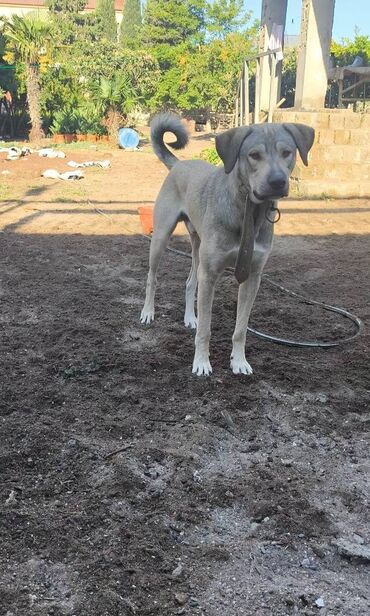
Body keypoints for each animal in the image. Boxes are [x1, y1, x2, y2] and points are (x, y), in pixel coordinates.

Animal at [140, 114, 314, 376]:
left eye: (287, 152)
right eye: (254, 155)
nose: (277, 182)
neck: (249, 212)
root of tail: (179, 164)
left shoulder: (252, 276)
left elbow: (240, 329)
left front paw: (239, 361)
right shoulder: (211, 274)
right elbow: (206, 329)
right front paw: (201, 363)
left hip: (197, 247)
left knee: (190, 282)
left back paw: (190, 318)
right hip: (161, 238)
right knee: (152, 278)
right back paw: (148, 312)